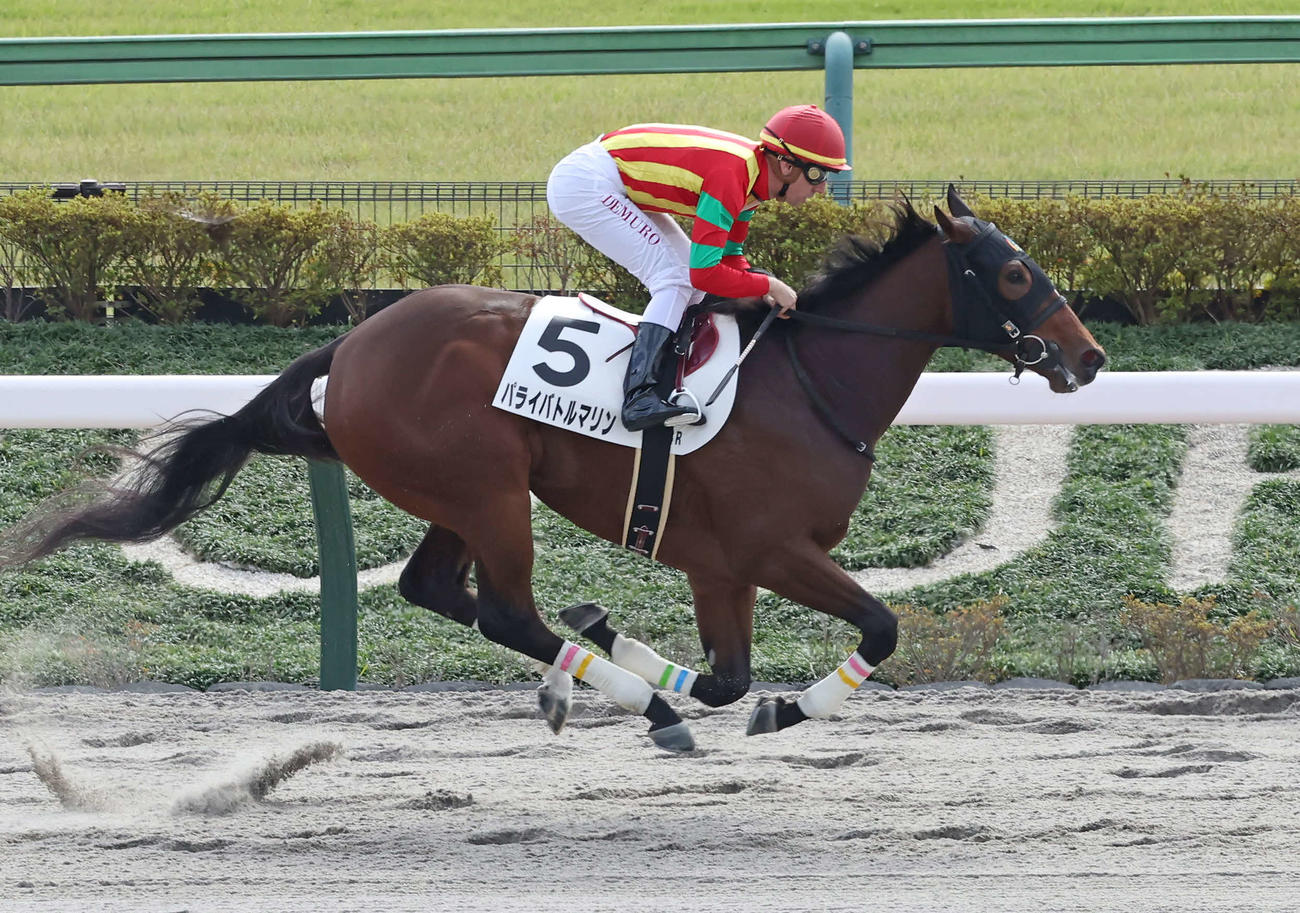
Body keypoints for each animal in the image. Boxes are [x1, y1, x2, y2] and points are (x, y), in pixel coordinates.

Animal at [0, 188, 1105, 751]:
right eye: (1014, 272)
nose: (1089, 356)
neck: (810, 383)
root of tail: (351, 345)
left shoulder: (723, 564)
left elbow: (730, 671)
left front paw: (639, 647)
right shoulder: (759, 549)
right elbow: (864, 631)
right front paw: (778, 704)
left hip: (461, 493)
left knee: (437, 589)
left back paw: (591, 671)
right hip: (490, 490)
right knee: (500, 609)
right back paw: (632, 699)